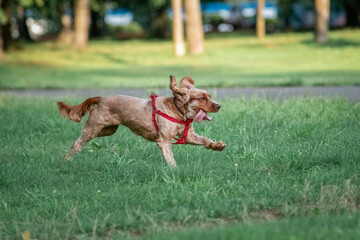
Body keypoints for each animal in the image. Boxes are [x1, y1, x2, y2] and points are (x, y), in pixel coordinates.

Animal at [57, 76, 226, 166]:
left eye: (209, 96)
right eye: (202, 98)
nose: (219, 106)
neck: (178, 111)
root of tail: (102, 98)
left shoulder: (188, 136)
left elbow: (204, 140)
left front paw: (217, 146)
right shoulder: (164, 140)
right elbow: (170, 157)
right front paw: (175, 170)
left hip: (109, 130)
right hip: (92, 128)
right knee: (77, 143)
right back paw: (66, 160)